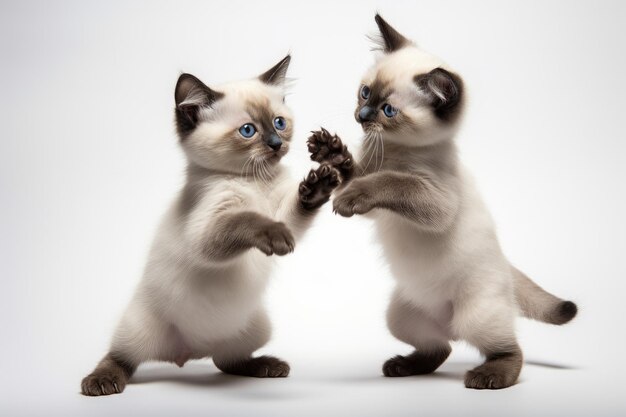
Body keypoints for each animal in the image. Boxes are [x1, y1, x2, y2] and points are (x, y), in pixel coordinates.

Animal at [81, 53, 342, 394]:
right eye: (248, 130)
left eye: (279, 123)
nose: (275, 144)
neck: (255, 181)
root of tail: (189, 353)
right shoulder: (208, 230)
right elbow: (247, 219)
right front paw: (273, 235)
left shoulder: (285, 212)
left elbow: (297, 209)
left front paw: (321, 182)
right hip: (137, 328)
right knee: (121, 357)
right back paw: (101, 381)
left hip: (256, 327)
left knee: (227, 360)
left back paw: (267, 365)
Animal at [310, 13, 576, 390]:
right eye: (365, 92)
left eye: (388, 110)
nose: (361, 116)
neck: (392, 150)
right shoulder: (376, 207)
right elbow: (357, 174)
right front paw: (330, 151)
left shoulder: (434, 202)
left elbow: (390, 181)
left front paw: (352, 189)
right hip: (400, 316)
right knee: (440, 348)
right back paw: (403, 366)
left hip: (476, 317)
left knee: (509, 350)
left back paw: (488, 376)